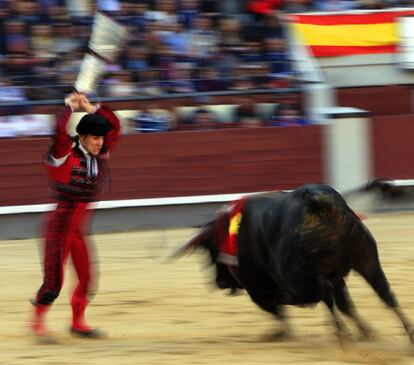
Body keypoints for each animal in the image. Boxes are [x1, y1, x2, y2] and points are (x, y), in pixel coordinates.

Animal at [172, 183, 414, 342]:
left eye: (210, 250)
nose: (218, 283)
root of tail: (316, 201)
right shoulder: (338, 278)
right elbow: (346, 305)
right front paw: (366, 331)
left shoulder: (260, 289)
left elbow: (277, 310)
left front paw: (278, 333)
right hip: (368, 262)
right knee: (385, 294)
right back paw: (408, 334)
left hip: (299, 278)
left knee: (324, 293)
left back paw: (341, 335)